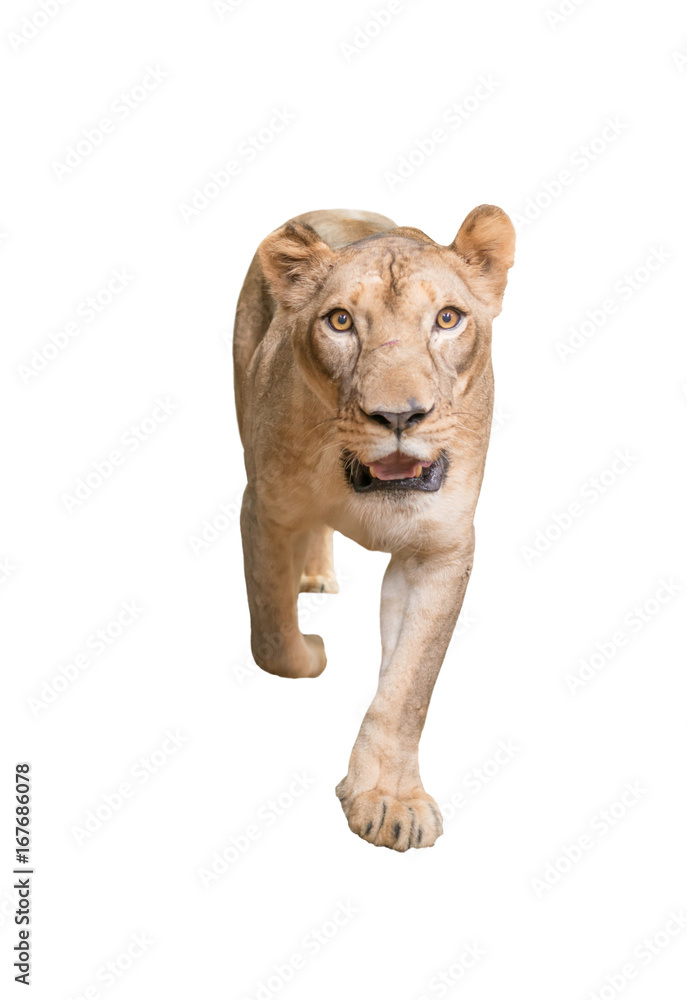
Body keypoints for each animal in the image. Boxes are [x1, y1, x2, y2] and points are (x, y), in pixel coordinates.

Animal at [233, 205, 515, 850]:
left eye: (447, 318)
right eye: (340, 321)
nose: (398, 416)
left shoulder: (439, 551)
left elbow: (409, 686)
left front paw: (390, 801)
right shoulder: (263, 509)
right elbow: (273, 637)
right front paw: (311, 651)